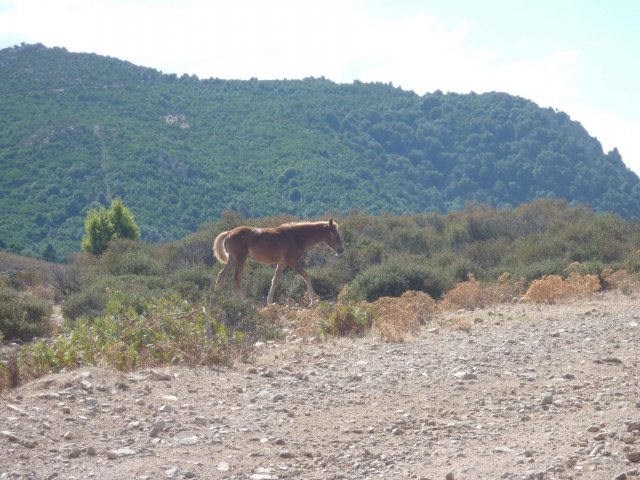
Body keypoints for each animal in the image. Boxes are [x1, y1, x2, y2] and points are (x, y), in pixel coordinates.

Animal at [214, 218, 344, 304]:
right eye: (333, 233)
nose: (341, 250)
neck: (296, 236)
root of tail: (229, 233)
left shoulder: (282, 263)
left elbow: (275, 280)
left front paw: (270, 302)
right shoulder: (292, 262)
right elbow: (306, 276)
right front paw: (313, 300)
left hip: (232, 259)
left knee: (221, 275)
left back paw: (216, 297)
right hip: (240, 258)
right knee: (237, 279)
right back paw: (242, 302)